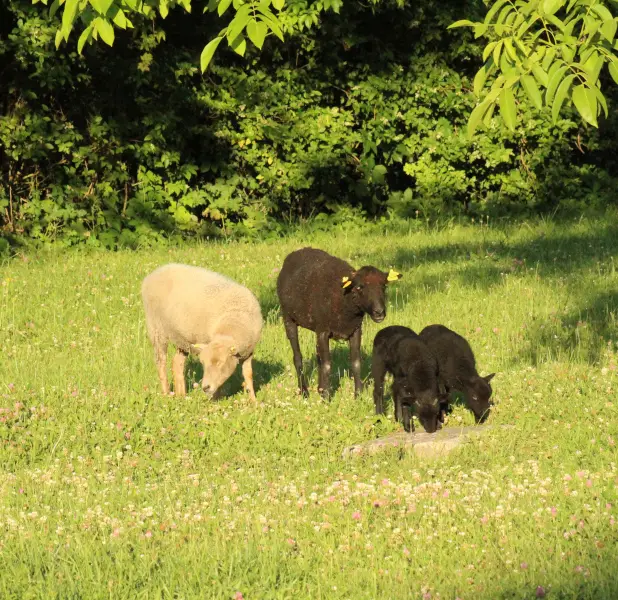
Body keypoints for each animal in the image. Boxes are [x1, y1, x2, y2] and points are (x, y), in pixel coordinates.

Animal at [141, 264, 262, 400]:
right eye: (203, 363)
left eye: (220, 362)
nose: (205, 387)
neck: (233, 321)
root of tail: (155, 272)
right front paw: (216, 399)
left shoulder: (248, 352)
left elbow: (248, 374)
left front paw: (253, 400)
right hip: (156, 329)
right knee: (161, 361)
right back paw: (166, 393)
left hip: (182, 338)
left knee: (177, 362)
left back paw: (181, 395)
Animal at [274, 248, 400, 398]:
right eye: (359, 287)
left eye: (384, 286)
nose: (379, 312)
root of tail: (297, 251)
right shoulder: (324, 331)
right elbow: (327, 365)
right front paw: (326, 397)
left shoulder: (355, 330)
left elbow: (356, 363)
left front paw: (358, 394)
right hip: (288, 318)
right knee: (298, 357)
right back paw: (304, 391)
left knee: (318, 358)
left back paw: (319, 388)